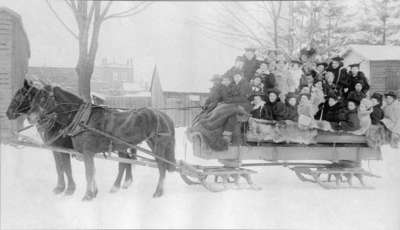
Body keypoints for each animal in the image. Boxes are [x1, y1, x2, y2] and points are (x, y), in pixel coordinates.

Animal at [7, 80, 176, 200]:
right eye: (33, 98)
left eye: (43, 99)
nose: (8, 113)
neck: (80, 119)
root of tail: (164, 115)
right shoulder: (67, 150)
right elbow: (77, 170)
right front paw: (91, 192)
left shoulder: (79, 151)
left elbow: (77, 170)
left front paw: (80, 193)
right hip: (126, 146)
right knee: (126, 163)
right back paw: (120, 185)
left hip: (157, 146)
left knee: (161, 167)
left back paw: (157, 192)